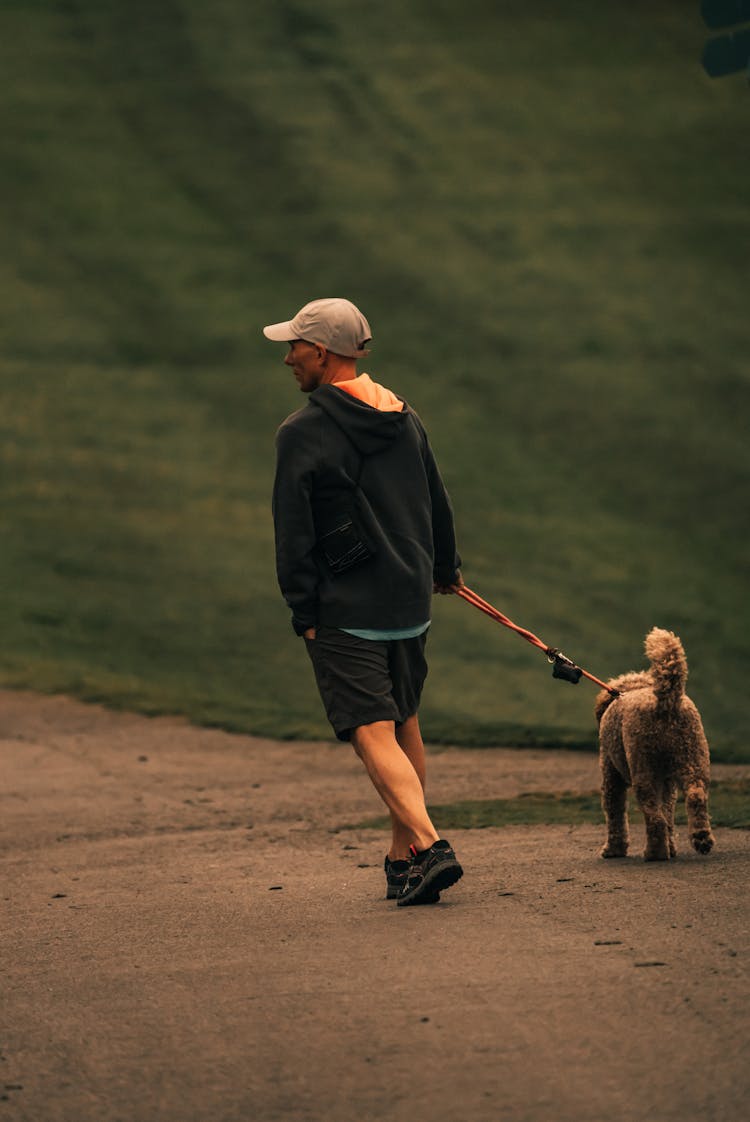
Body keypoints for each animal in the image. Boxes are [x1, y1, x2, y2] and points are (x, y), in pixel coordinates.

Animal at [592, 628, 714, 861]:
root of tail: (666, 702)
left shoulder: (611, 774)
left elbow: (615, 812)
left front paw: (613, 849)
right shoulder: (667, 782)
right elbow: (668, 813)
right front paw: (672, 847)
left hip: (643, 769)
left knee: (654, 817)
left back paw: (654, 853)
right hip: (694, 758)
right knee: (695, 795)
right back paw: (701, 838)